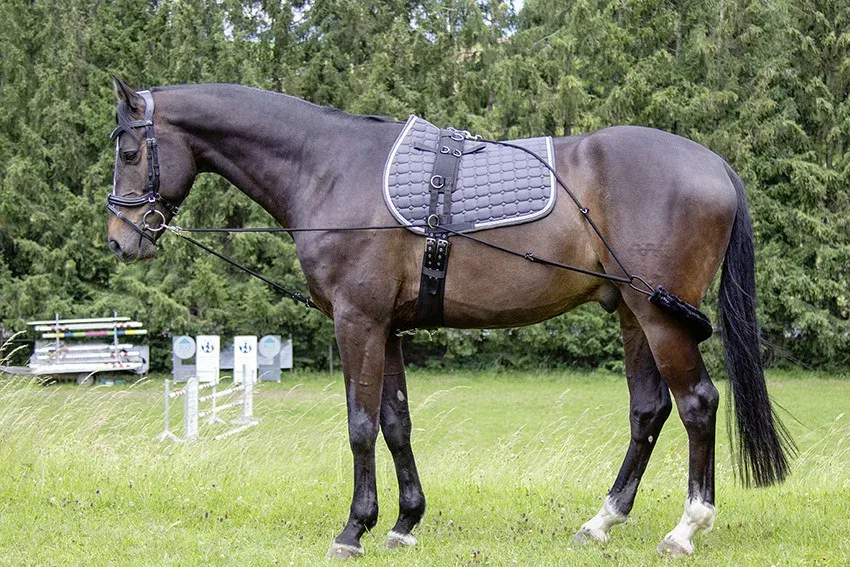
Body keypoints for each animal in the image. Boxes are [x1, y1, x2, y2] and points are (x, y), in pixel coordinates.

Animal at [106, 77, 793, 558]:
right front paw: (404, 522)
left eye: (132, 151)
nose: (120, 239)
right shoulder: (388, 328)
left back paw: (685, 529)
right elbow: (396, 423)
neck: (330, 167)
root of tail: (713, 163)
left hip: (660, 316)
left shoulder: (357, 322)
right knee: (648, 411)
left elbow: (360, 426)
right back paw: (602, 521)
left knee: (697, 404)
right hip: (631, 313)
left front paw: (353, 529)